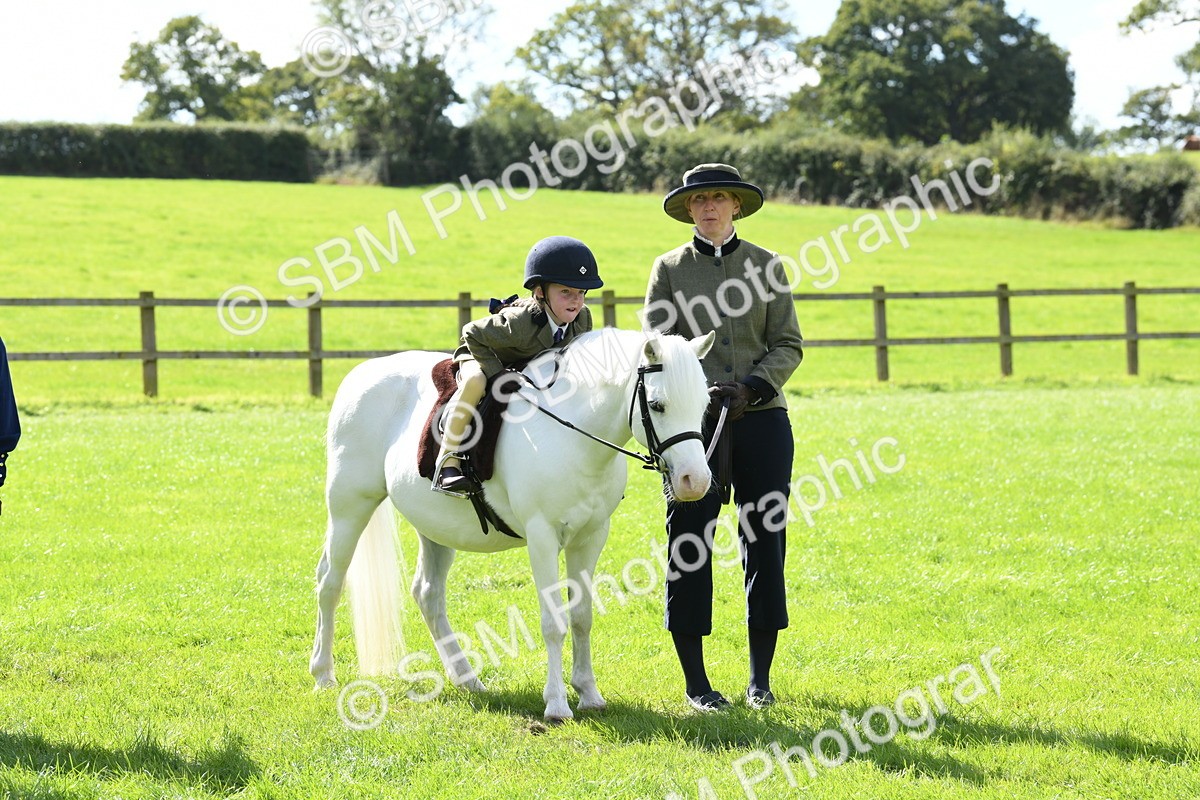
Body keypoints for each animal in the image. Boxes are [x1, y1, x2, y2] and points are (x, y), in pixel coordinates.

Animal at [309, 327, 716, 720]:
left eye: (704, 405)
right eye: (657, 405)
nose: (695, 481)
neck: (571, 433)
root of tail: (362, 373)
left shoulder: (590, 537)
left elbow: (581, 617)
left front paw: (588, 693)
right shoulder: (543, 537)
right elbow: (553, 622)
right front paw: (556, 704)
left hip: (434, 527)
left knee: (428, 594)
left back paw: (467, 678)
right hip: (350, 506)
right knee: (330, 583)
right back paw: (323, 673)